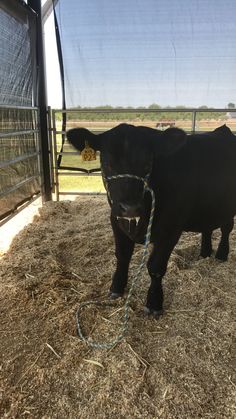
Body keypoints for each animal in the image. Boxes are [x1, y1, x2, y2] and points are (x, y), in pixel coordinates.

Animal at [67, 124, 236, 318]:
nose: (130, 207)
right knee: (207, 227)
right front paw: (116, 288)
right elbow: (122, 256)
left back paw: (222, 254)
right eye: (107, 163)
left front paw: (154, 303)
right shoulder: (116, 221)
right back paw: (205, 252)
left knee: (226, 228)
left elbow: (156, 268)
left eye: (148, 164)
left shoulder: (171, 229)